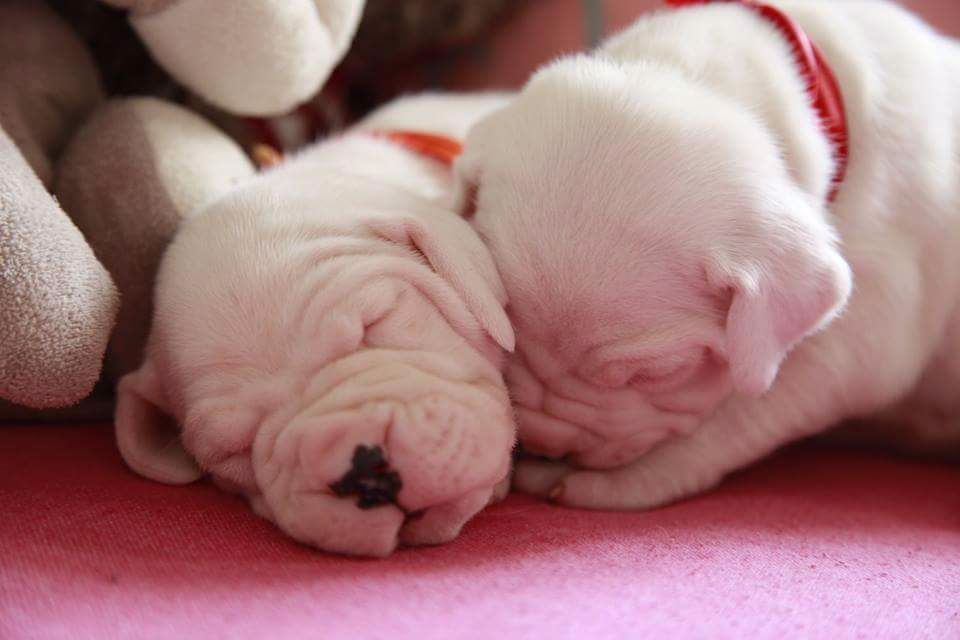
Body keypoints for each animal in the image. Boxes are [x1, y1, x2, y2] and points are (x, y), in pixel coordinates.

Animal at [456, 1, 960, 510]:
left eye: (656, 374)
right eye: (511, 336)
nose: (546, 444)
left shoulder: (859, 337)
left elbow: (741, 415)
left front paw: (613, 483)